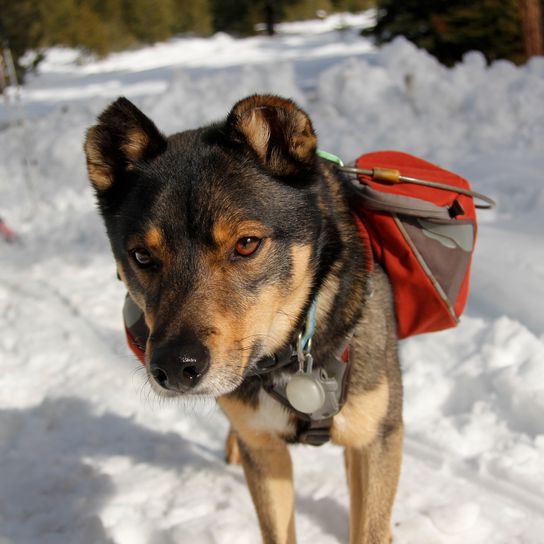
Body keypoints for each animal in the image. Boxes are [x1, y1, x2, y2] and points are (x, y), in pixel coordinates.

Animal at [84, 94, 400, 544]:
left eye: (247, 244)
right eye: (141, 256)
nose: (175, 368)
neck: (292, 356)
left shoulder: (379, 439)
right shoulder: (266, 455)